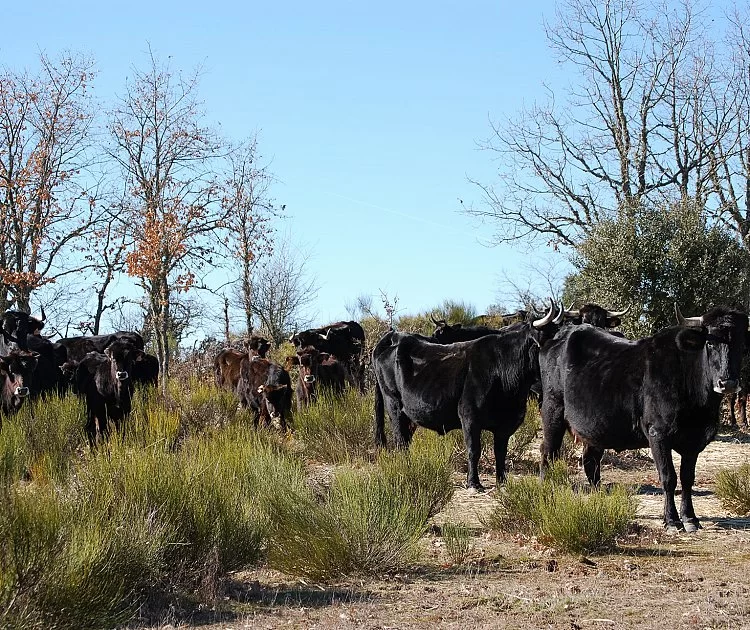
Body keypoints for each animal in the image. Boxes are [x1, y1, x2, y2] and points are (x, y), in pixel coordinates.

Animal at [374, 308, 560, 492]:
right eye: (551, 339)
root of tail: (394, 335)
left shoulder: (505, 424)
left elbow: (501, 452)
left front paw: (502, 482)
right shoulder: (470, 417)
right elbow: (473, 450)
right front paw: (474, 483)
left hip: (410, 417)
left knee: (405, 440)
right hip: (394, 406)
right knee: (400, 441)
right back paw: (405, 469)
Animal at [544, 306, 748, 532]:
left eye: (741, 343)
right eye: (710, 342)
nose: (727, 383)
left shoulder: (694, 441)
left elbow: (687, 478)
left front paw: (690, 518)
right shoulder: (658, 434)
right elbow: (668, 477)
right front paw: (671, 520)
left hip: (595, 431)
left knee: (590, 462)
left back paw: (599, 499)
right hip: (552, 411)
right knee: (548, 454)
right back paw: (546, 493)